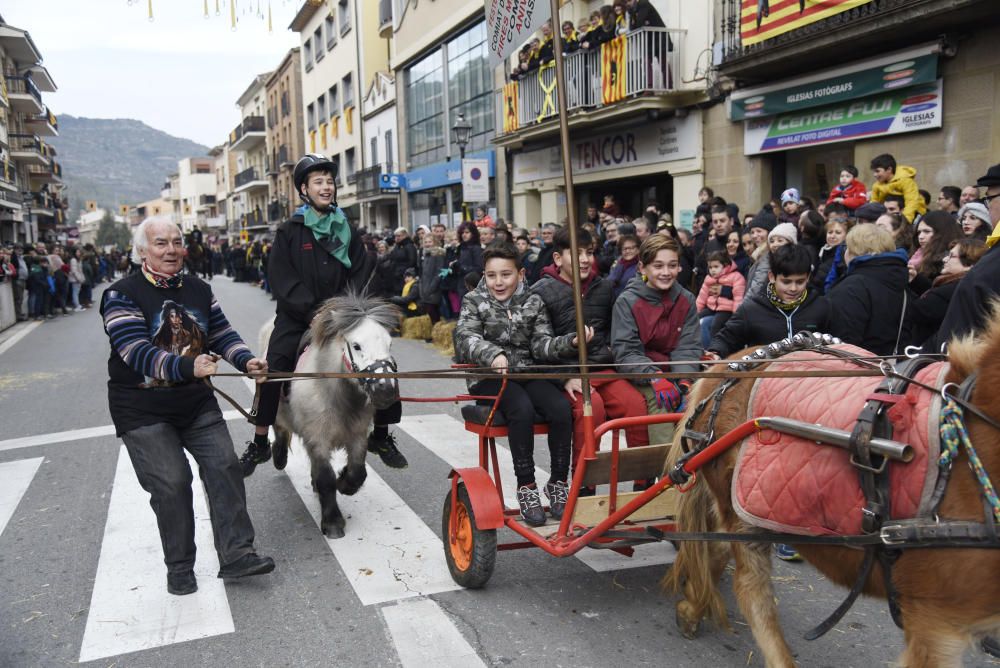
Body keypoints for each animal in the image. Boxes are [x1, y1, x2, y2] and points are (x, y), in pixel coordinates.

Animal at [260, 292, 400, 536]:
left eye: (389, 343)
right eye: (357, 345)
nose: (386, 390)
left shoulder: (357, 435)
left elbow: (358, 472)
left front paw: (344, 483)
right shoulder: (318, 438)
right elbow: (326, 478)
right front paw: (333, 522)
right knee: (279, 429)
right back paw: (277, 455)